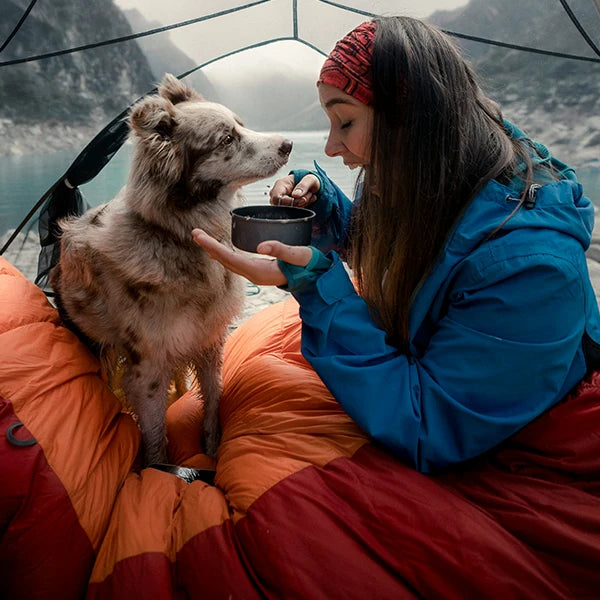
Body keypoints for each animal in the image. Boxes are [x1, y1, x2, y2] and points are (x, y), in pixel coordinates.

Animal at [51, 71, 292, 464]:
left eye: (241, 124)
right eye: (227, 139)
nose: (288, 143)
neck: (176, 236)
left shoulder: (210, 342)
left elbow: (213, 401)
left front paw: (211, 452)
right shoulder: (148, 366)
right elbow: (154, 438)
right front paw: (160, 468)